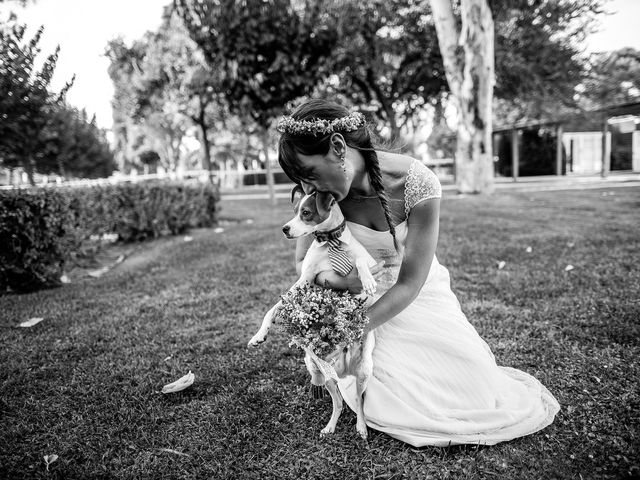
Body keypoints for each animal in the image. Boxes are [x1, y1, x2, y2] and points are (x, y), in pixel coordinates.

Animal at [249, 187, 380, 438]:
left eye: (306, 213)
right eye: (294, 211)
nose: (285, 229)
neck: (330, 241)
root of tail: (345, 369)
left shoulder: (366, 266)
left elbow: (359, 261)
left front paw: (366, 281)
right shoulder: (304, 280)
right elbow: (273, 308)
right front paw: (259, 335)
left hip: (364, 371)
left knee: (359, 402)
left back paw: (361, 427)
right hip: (320, 371)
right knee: (338, 402)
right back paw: (330, 426)